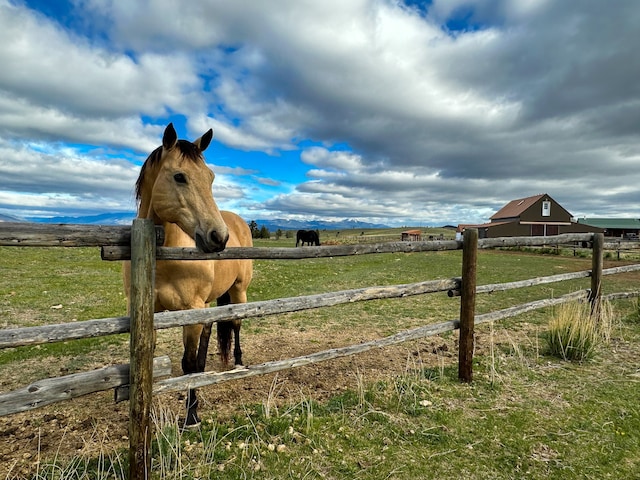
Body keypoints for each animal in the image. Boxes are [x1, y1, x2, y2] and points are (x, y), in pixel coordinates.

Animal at [122, 124, 252, 428]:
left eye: (211, 177)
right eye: (179, 177)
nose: (219, 237)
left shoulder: (190, 311)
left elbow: (188, 364)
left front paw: (192, 415)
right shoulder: (150, 313)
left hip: (238, 292)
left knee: (236, 324)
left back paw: (238, 361)